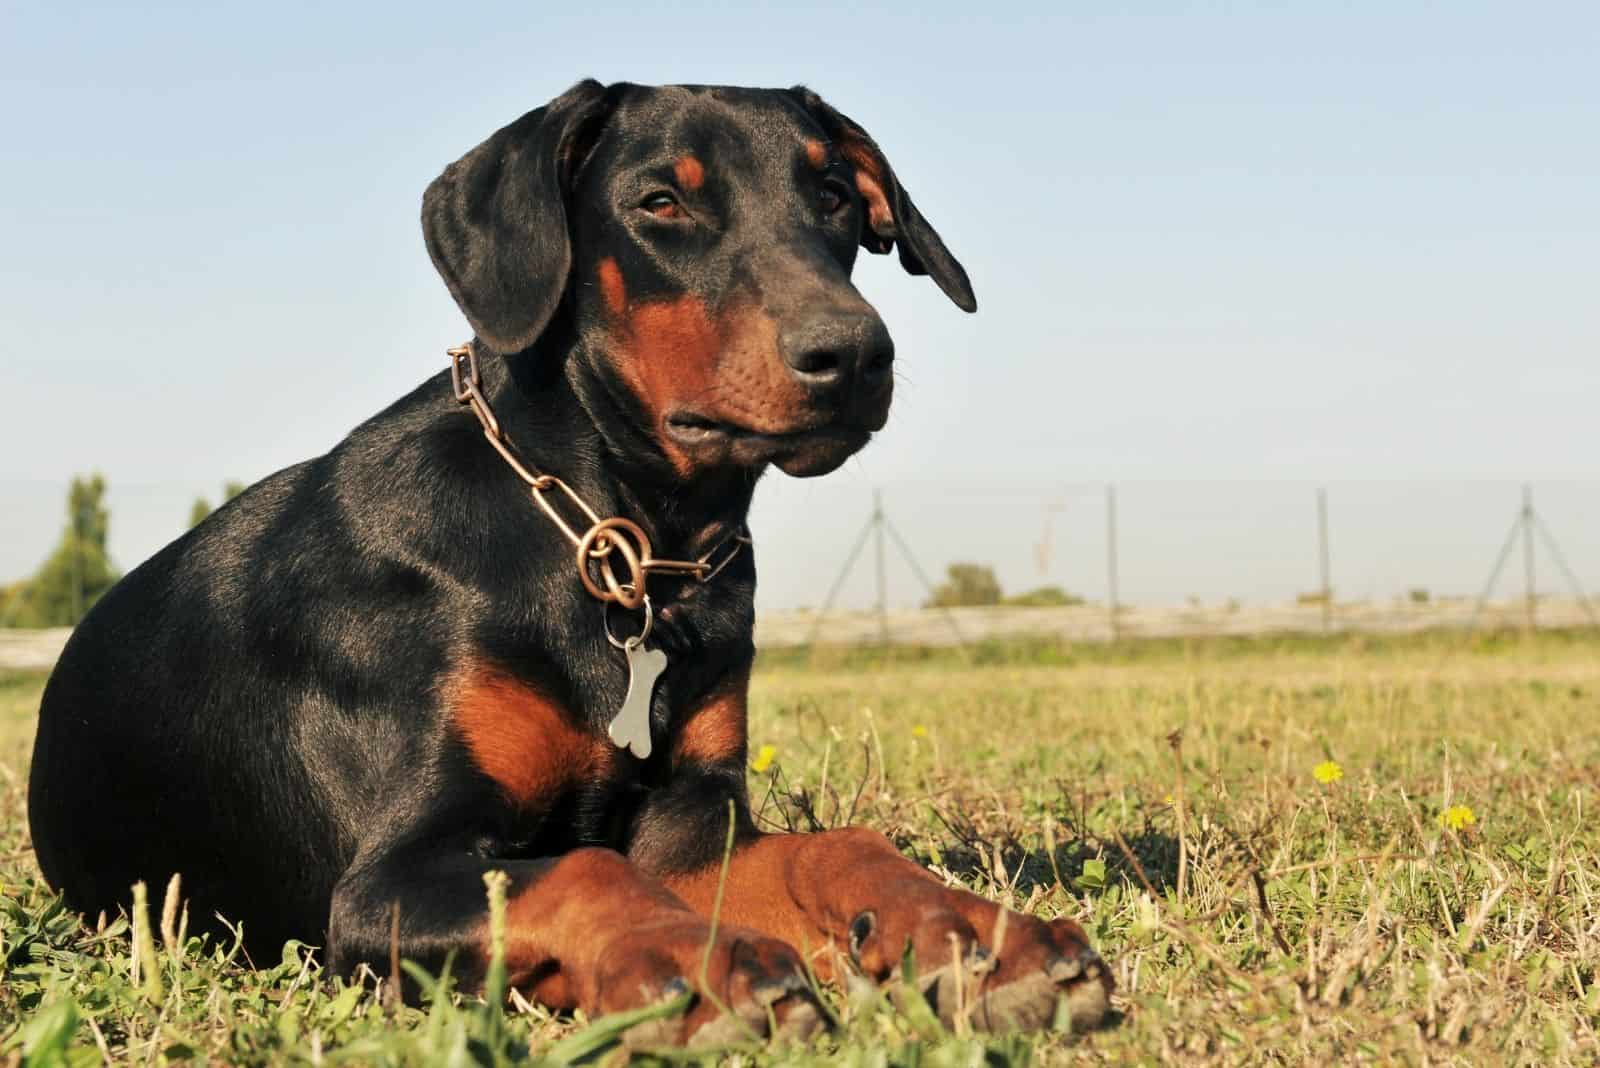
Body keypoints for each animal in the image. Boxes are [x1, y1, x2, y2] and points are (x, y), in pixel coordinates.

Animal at [34, 81, 1113, 1042]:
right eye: (660, 202)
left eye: (836, 197)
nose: (852, 355)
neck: (630, 549)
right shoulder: (383, 882)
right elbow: (590, 869)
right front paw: (695, 962)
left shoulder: (692, 829)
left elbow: (839, 846)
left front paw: (972, 934)